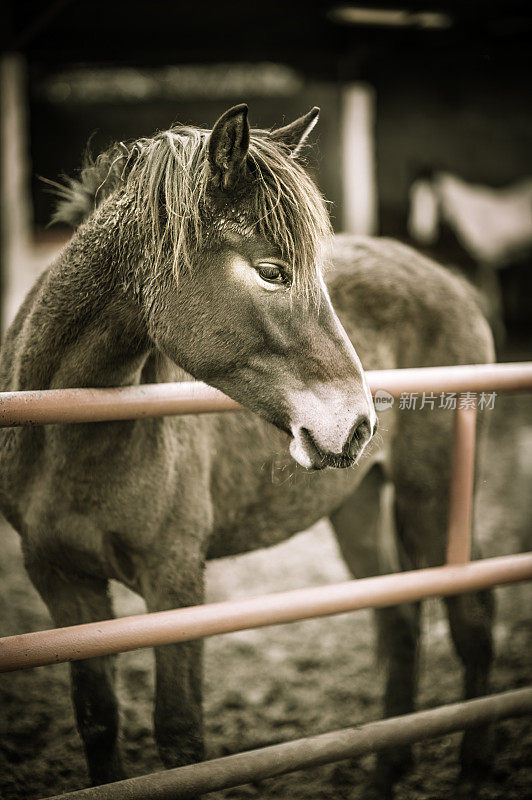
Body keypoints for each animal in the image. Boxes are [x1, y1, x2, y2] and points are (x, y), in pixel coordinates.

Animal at [0, 106, 494, 800]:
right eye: (272, 271)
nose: (357, 424)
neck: (71, 436)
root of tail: (449, 282)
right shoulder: (62, 582)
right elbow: (98, 721)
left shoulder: (175, 581)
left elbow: (180, 738)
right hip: (357, 505)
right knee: (399, 619)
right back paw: (385, 771)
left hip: (436, 498)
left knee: (471, 618)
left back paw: (474, 764)